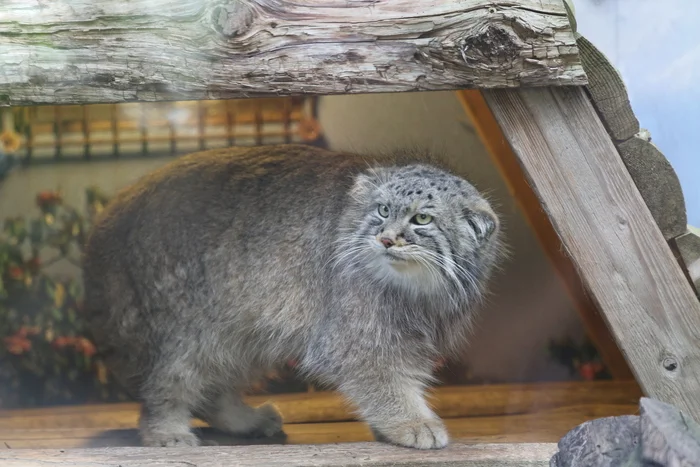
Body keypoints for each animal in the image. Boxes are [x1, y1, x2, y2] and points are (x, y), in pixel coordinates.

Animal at [83, 145, 504, 450]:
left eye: (422, 219)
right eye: (383, 211)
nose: (385, 239)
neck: (414, 291)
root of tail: (105, 219)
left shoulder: (414, 335)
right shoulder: (352, 337)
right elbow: (383, 380)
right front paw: (411, 422)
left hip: (243, 324)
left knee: (212, 387)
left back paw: (244, 421)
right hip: (182, 323)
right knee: (167, 379)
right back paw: (165, 430)